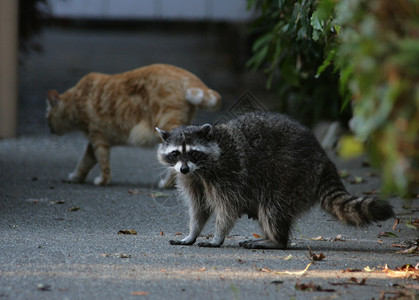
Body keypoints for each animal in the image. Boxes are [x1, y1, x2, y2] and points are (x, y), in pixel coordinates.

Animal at [46, 64, 221, 188]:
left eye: (48, 118)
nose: (50, 129)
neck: (77, 100)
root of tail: (186, 75)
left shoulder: (98, 136)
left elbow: (102, 161)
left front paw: (103, 180)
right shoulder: (94, 140)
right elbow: (85, 161)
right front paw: (76, 177)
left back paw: (167, 184)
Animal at [156, 112, 396, 248]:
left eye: (193, 153)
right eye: (176, 154)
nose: (184, 168)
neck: (200, 169)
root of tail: (323, 157)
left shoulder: (228, 175)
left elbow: (228, 208)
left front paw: (218, 236)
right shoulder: (192, 180)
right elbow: (199, 208)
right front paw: (192, 233)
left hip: (291, 173)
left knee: (273, 207)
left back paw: (276, 241)